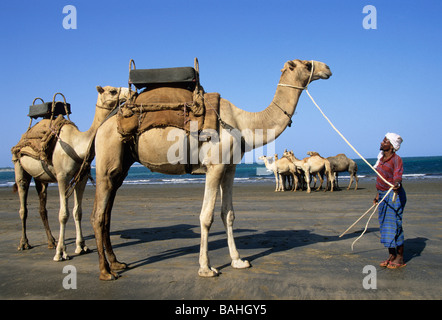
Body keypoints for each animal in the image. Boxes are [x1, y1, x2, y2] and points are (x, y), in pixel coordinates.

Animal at [12, 86, 129, 262]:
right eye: (112, 91)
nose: (130, 93)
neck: (76, 145)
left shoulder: (81, 178)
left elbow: (77, 212)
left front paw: (81, 246)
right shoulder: (62, 177)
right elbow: (63, 214)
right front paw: (61, 252)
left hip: (41, 179)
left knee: (42, 207)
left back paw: (51, 241)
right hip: (19, 165)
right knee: (22, 205)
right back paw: (24, 243)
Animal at [90, 59, 332, 280]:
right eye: (306, 64)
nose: (327, 68)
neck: (242, 123)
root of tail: (104, 124)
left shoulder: (229, 168)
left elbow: (228, 214)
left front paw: (238, 261)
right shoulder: (214, 166)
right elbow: (206, 216)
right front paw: (206, 268)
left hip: (121, 166)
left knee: (107, 212)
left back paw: (117, 263)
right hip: (107, 158)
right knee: (98, 215)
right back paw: (105, 272)